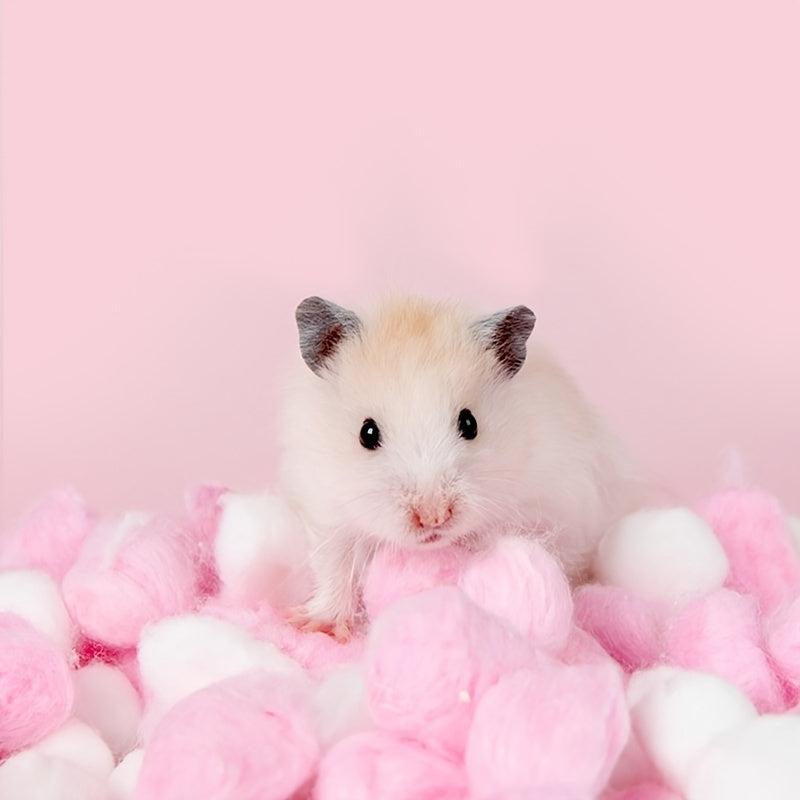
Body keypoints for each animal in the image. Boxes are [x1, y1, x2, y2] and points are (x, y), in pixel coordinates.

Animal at [278, 294, 640, 639]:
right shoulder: (328, 513)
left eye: (470, 423)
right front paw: (315, 625)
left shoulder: (554, 504)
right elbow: (336, 569)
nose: (434, 517)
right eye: (367, 433)